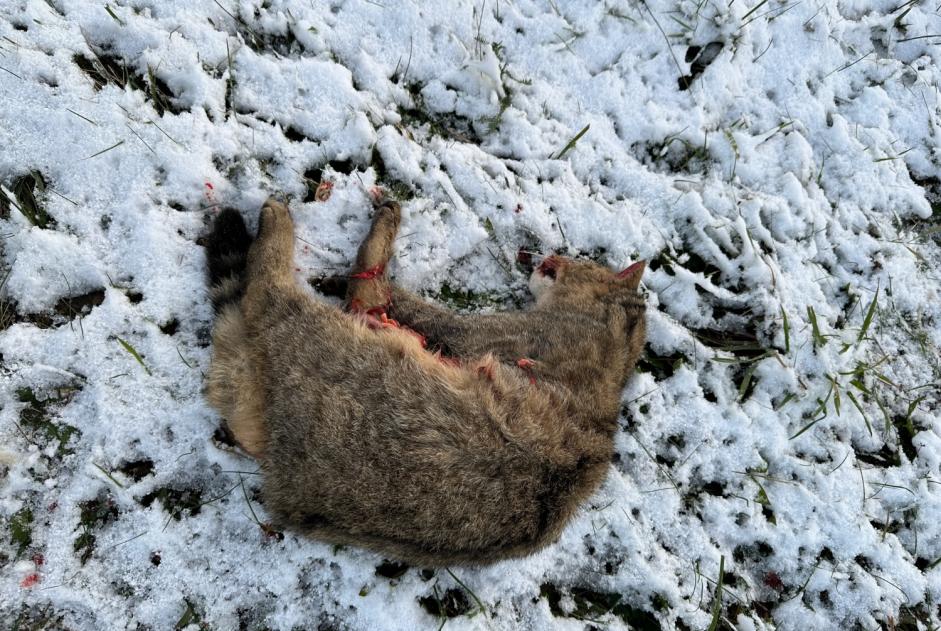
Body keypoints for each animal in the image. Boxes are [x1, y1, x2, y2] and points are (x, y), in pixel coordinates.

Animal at [204, 195, 648, 564]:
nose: (551, 254)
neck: (620, 344)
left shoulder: (487, 334)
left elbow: (386, 293)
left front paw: (366, 258)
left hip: (332, 343)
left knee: (276, 293)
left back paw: (286, 231)